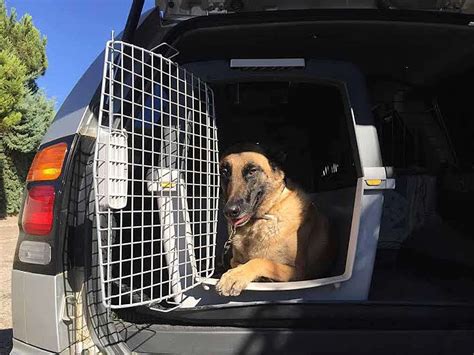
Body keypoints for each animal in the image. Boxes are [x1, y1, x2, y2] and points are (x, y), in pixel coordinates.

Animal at [215, 143, 336, 296]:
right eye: (224, 172)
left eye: (252, 171)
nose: (230, 211)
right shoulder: (234, 259)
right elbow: (235, 263)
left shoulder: (296, 271)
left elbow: (261, 261)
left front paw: (235, 276)